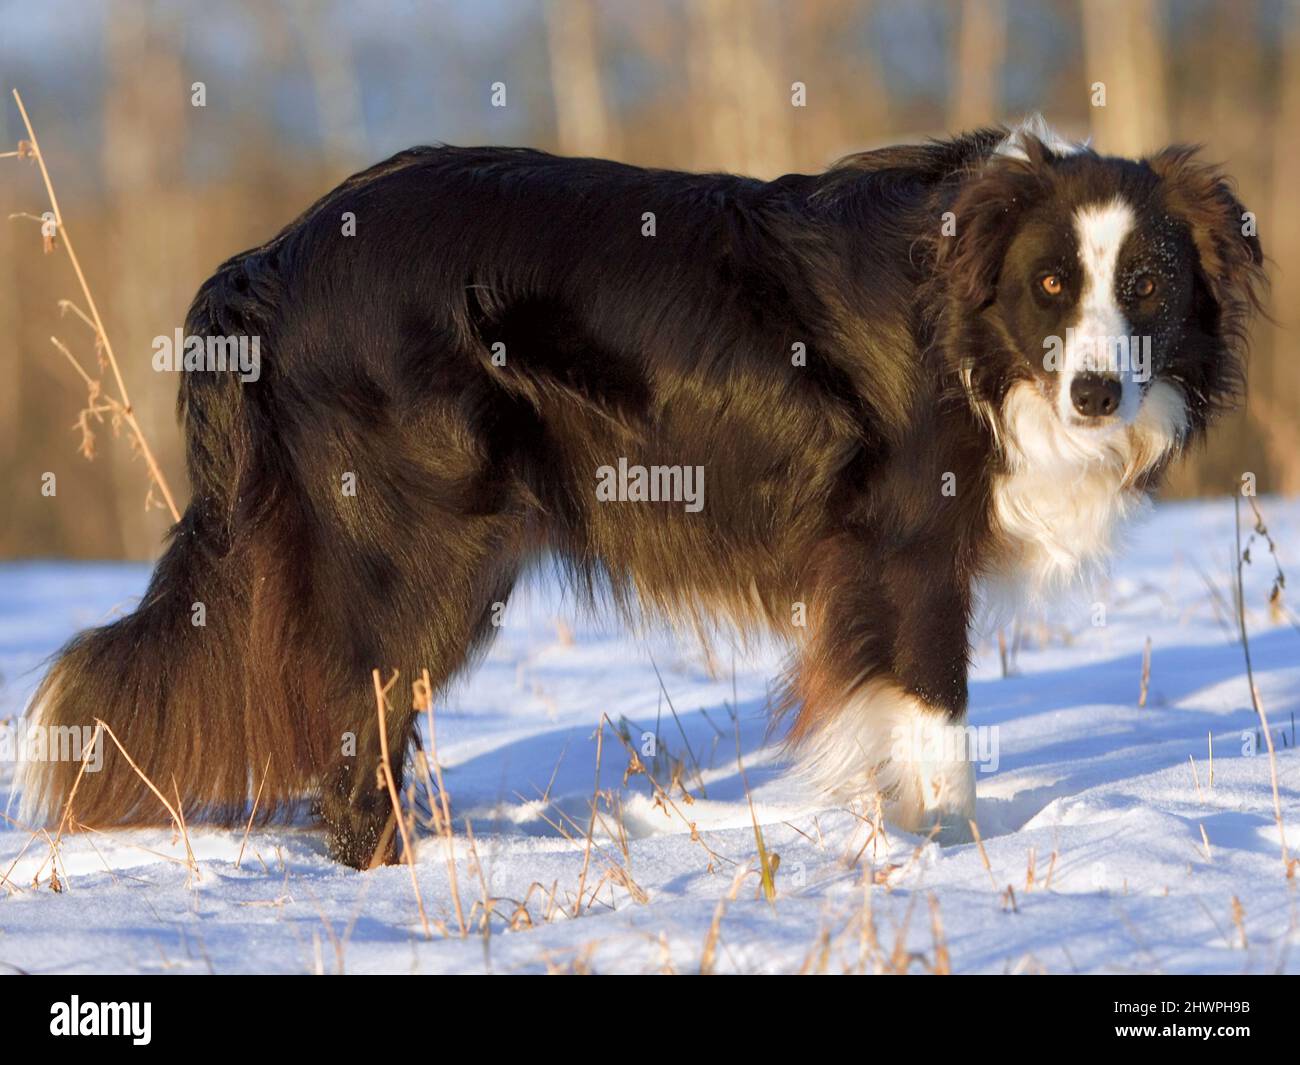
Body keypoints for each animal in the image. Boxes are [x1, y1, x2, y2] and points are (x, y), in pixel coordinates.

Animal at [22, 118, 1258, 868]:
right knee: (356, 732)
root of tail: (271, 255)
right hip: (427, 547)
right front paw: (950, 858)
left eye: (1146, 284)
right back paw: (394, 878)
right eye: (1050, 285)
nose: (1096, 394)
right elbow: (936, 716)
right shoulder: (906, 550)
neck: (972, 326)